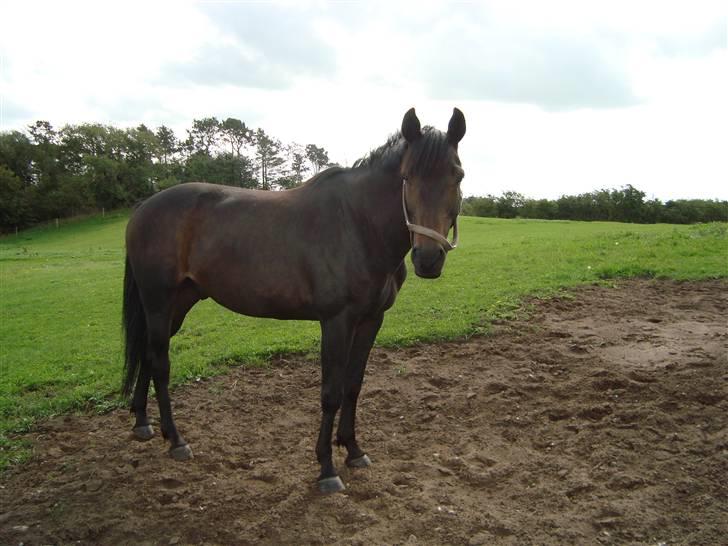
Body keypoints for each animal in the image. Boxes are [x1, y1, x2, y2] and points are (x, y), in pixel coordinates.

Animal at [122, 105, 466, 488]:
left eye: (457, 175)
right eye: (407, 176)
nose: (428, 258)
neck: (358, 225)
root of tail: (144, 208)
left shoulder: (371, 320)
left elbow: (353, 386)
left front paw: (354, 450)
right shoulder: (336, 322)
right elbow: (331, 392)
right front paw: (327, 469)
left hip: (178, 303)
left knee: (147, 355)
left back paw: (143, 424)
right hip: (158, 301)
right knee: (160, 363)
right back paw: (176, 440)